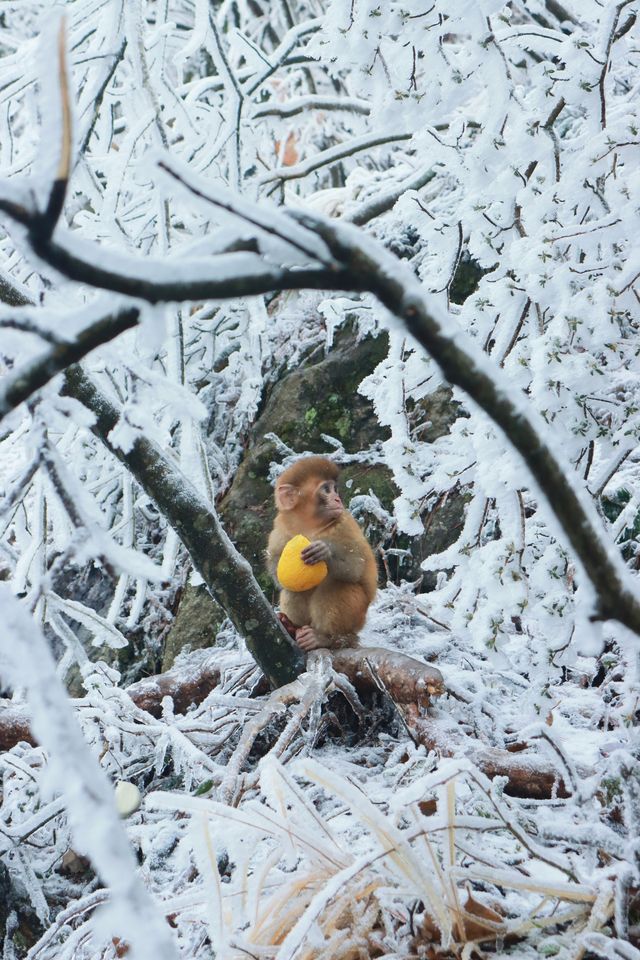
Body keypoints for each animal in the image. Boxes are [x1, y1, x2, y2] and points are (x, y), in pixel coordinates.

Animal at [266, 456, 380, 652]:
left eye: (334, 489)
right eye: (327, 489)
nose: (337, 498)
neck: (308, 525)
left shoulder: (344, 524)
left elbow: (356, 567)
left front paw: (324, 553)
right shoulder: (280, 527)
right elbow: (278, 571)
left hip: (358, 619)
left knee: (336, 584)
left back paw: (327, 639)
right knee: (294, 589)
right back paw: (291, 627)